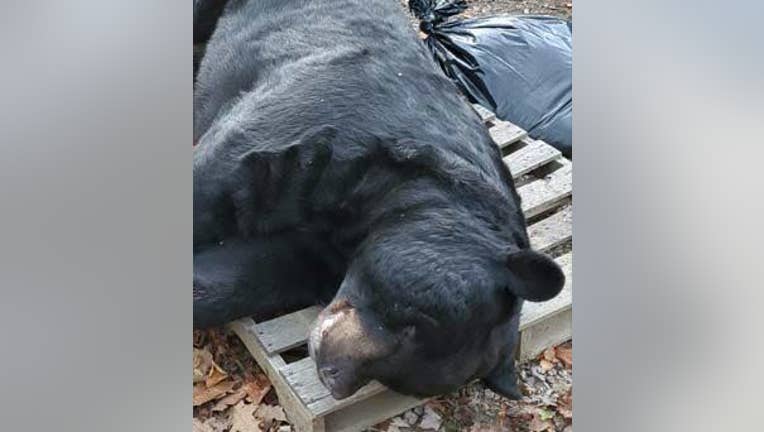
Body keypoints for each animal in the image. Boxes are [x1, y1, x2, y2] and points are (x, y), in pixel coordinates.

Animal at [194, 0, 564, 400]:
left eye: (399, 381)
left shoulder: (324, 251)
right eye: (415, 319)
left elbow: (253, 272)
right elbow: (220, 176)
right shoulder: (327, 125)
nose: (333, 377)